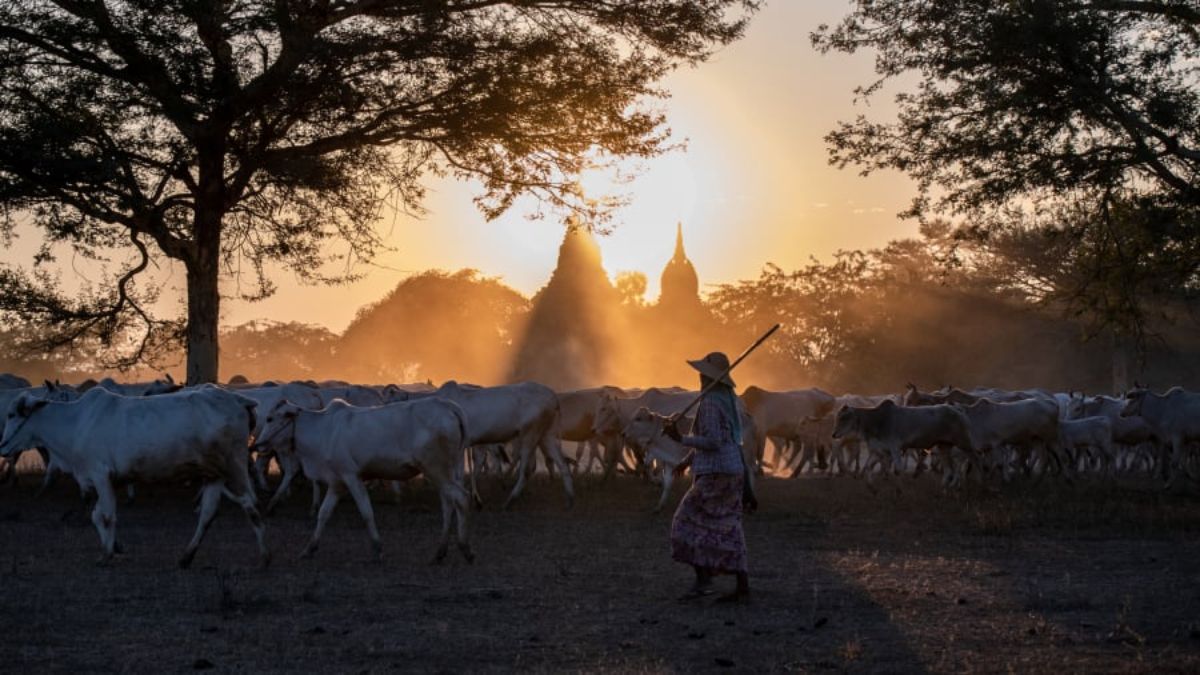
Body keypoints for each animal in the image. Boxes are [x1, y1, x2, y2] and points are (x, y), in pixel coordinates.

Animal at [0, 386, 265, 564]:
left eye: (12, 415)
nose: (2, 446)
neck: (75, 423)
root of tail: (238, 399)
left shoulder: (100, 474)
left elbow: (107, 515)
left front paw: (107, 554)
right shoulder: (105, 480)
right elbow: (97, 515)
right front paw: (115, 546)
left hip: (235, 465)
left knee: (250, 503)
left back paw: (265, 556)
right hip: (213, 473)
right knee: (208, 513)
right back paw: (186, 557)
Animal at [253, 396, 472, 559]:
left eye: (270, 418)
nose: (257, 445)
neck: (322, 430)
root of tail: (449, 406)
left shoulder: (351, 476)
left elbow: (366, 512)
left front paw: (377, 547)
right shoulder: (336, 482)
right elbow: (323, 513)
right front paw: (309, 548)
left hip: (436, 469)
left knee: (460, 498)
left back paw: (465, 548)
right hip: (449, 470)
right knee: (449, 503)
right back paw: (440, 551)